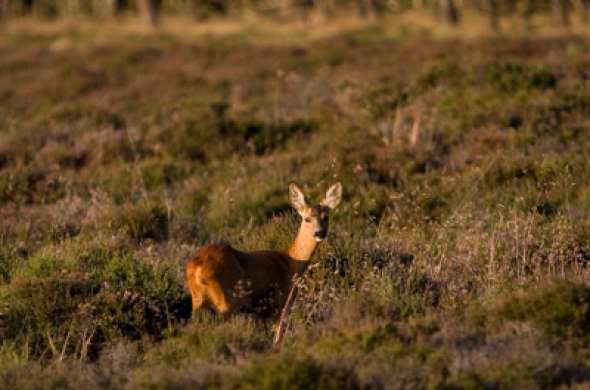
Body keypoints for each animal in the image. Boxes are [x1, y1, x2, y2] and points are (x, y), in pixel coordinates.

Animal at [187, 182, 344, 316]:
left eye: (326, 217)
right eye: (307, 219)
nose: (320, 233)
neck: (290, 262)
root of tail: (196, 267)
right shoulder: (281, 303)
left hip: (198, 302)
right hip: (229, 300)